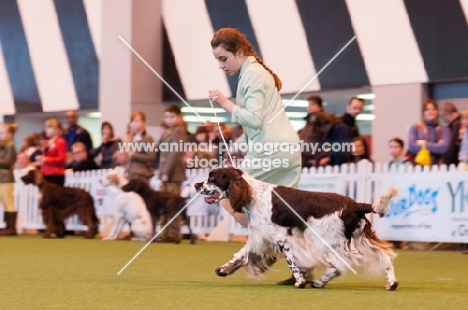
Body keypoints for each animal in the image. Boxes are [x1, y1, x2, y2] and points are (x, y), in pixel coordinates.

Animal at [194, 167, 398, 290]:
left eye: (212, 178)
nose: (196, 184)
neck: (252, 195)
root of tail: (355, 205)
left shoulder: (282, 238)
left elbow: (292, 262)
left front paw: (300, 281)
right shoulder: (260, 236)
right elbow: (240, 254)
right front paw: (224, 269)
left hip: (321, 239)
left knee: (338, 267)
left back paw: (318, 283)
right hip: (361, 237)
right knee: (385, 258)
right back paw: (392, 283)